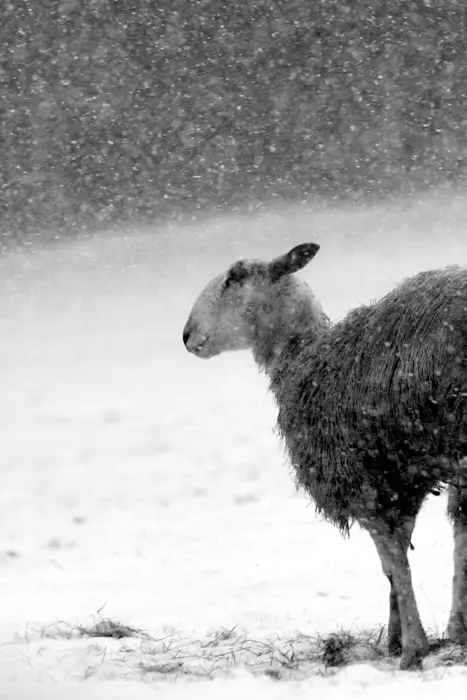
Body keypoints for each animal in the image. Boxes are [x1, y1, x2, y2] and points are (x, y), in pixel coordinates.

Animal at [182, 242, 467, 670]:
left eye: (235, 277)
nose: (186, 335)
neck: (304, 361)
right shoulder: (401, 480)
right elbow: (400, 560)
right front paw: (401, 638)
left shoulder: (359, 477)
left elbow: (394, 562)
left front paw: (412, 649)